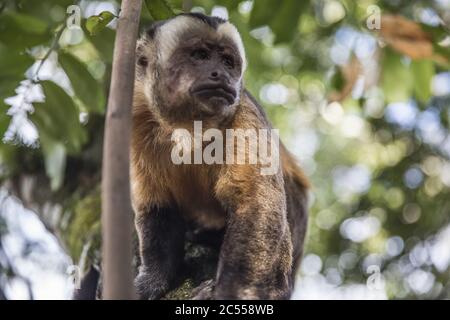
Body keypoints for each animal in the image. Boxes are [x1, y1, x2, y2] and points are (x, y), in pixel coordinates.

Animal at [130, 13, 310, 300]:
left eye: (227, 62)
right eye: (201, 55)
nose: (221, 74)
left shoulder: (244, 114)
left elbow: (256, 206)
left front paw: (232, 291)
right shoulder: (138, 118)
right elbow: (157, 206)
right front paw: (152, 281)